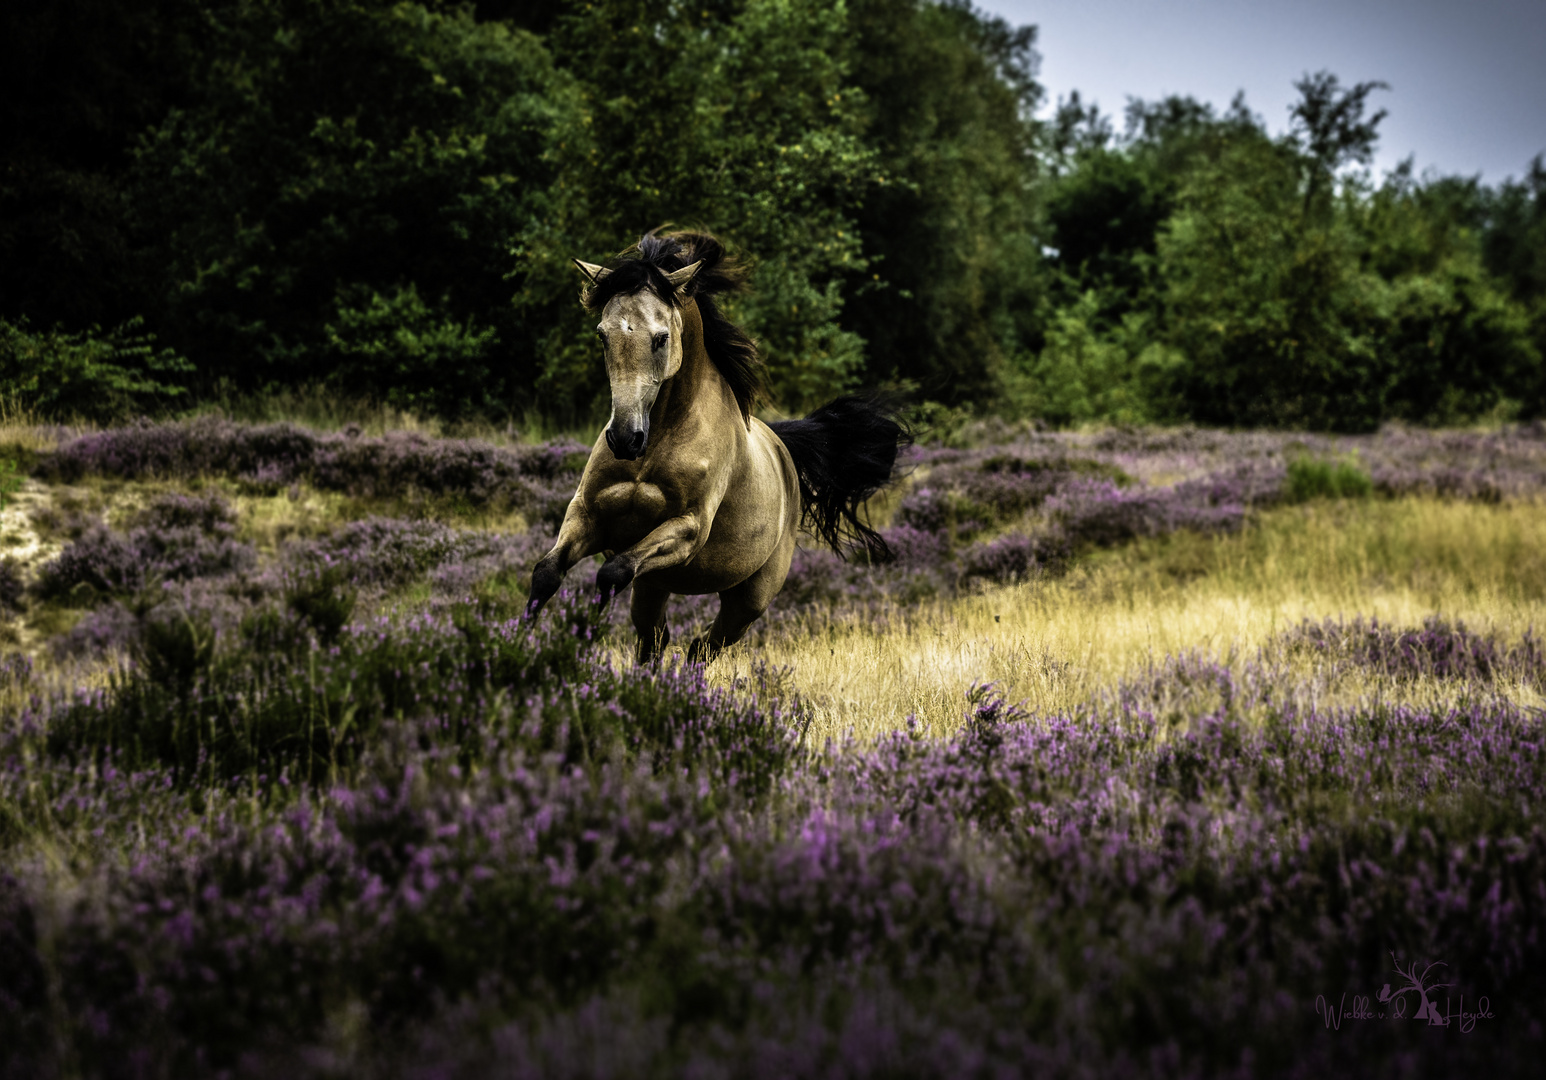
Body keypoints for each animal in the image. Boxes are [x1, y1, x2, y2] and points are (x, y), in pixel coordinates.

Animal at [525, 231, 902, 664]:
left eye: (661, 338)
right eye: (602, 335)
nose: (624, 438)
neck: (657, 443)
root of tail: (785, 454)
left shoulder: (688, 530)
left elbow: (611, 574)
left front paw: (582, 632)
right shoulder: (588, 514)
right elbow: (546, 574)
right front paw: (518, 645)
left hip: (747, 601)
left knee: (703, 647)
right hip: (654, 584)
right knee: (657, 640)